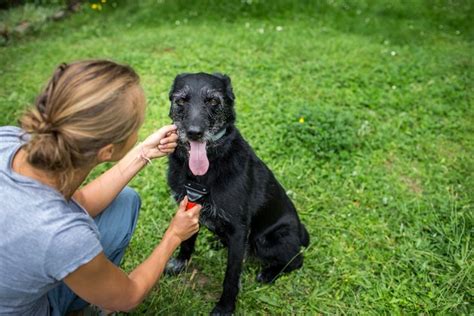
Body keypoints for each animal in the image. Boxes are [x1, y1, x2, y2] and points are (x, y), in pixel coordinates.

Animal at [165, 73, 310, 314]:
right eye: (181, 100)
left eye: (213, 101)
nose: (194, 133)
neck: (203, 174)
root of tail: (300, 231)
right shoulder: (189, 209)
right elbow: (186, 242)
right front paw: (180, 263)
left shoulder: (239, 230)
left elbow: (231, 276)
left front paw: (225, 306)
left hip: (266, 240)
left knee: (296, 260)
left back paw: (269, 273)